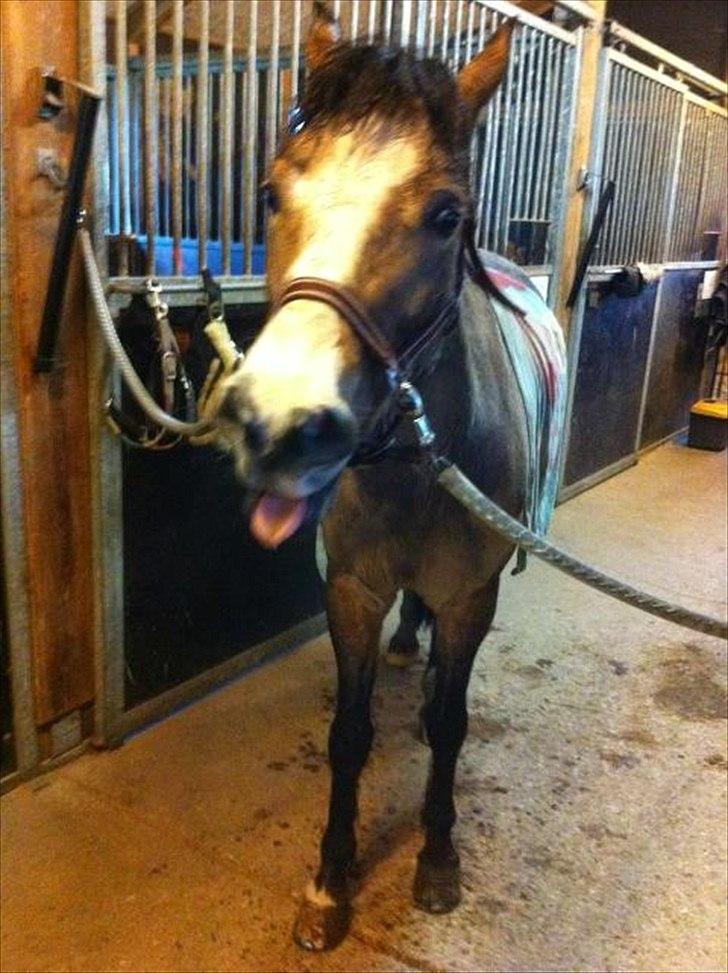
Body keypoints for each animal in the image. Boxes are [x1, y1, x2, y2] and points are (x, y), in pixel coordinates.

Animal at [213, 2, 565, 951]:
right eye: (271, 193)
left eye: (446, 214)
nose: (281, 425)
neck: (415, 467)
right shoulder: (353, 590)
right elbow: (349, 731)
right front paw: (330, 881)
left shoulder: (472, 595)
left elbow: (449, 723)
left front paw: (436, 859)